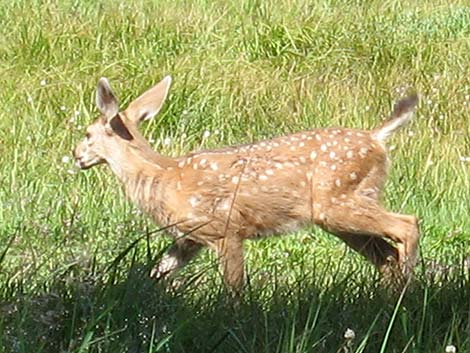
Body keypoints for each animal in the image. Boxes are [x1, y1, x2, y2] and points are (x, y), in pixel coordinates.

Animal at [74, 75, 422, 292]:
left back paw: (408, 295)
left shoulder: (225, 228)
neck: (164, 176)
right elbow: (158, 271)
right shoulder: (190, 239)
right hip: (344, 212)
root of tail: (376, 138)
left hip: (338, 201)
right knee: (387, 255)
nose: (76, 155)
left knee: (407, 224)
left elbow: (234, 287)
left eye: (88, 134)